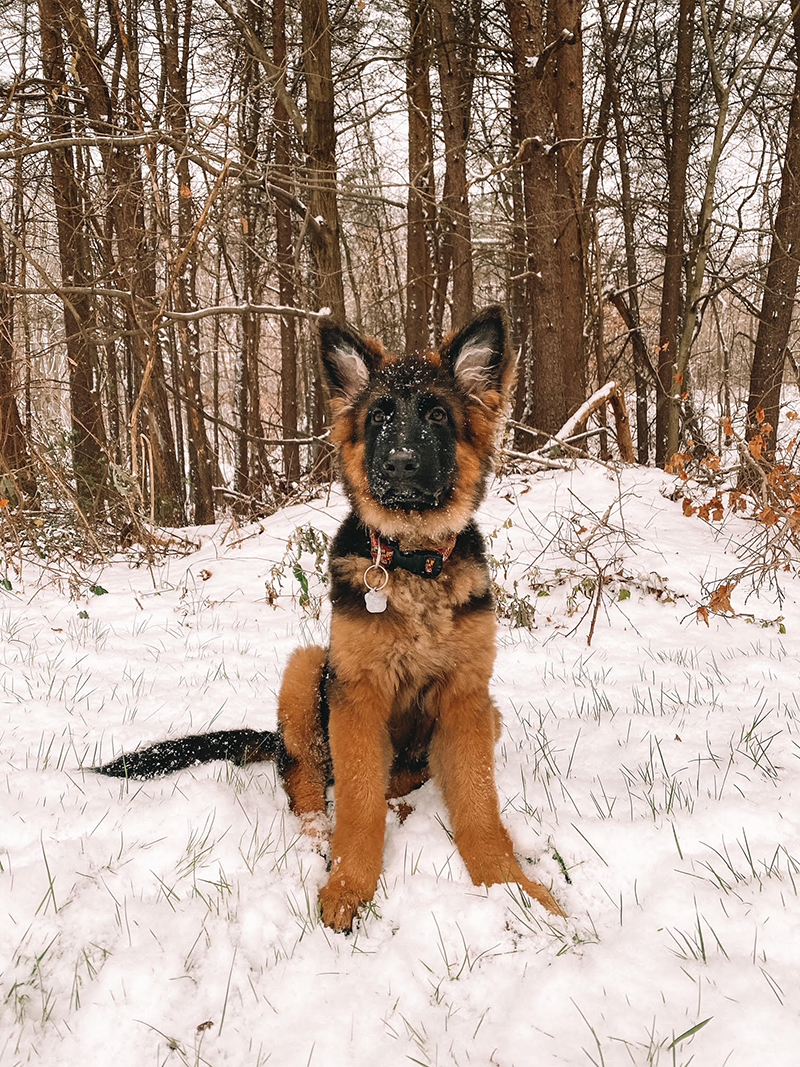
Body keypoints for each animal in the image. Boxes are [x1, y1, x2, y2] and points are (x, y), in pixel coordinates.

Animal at [98, 305, 563, 930]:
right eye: (379, 416)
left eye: (437, 414)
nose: (400, 464)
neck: (412, 560)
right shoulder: (356, 696)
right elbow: (359, 806)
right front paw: (348, 884)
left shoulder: (467, 697)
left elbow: (479, 807)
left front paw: (513, 888)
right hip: (307, 670)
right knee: (305, 781)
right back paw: (319, 835)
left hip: (488, 713)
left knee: (397, 784)